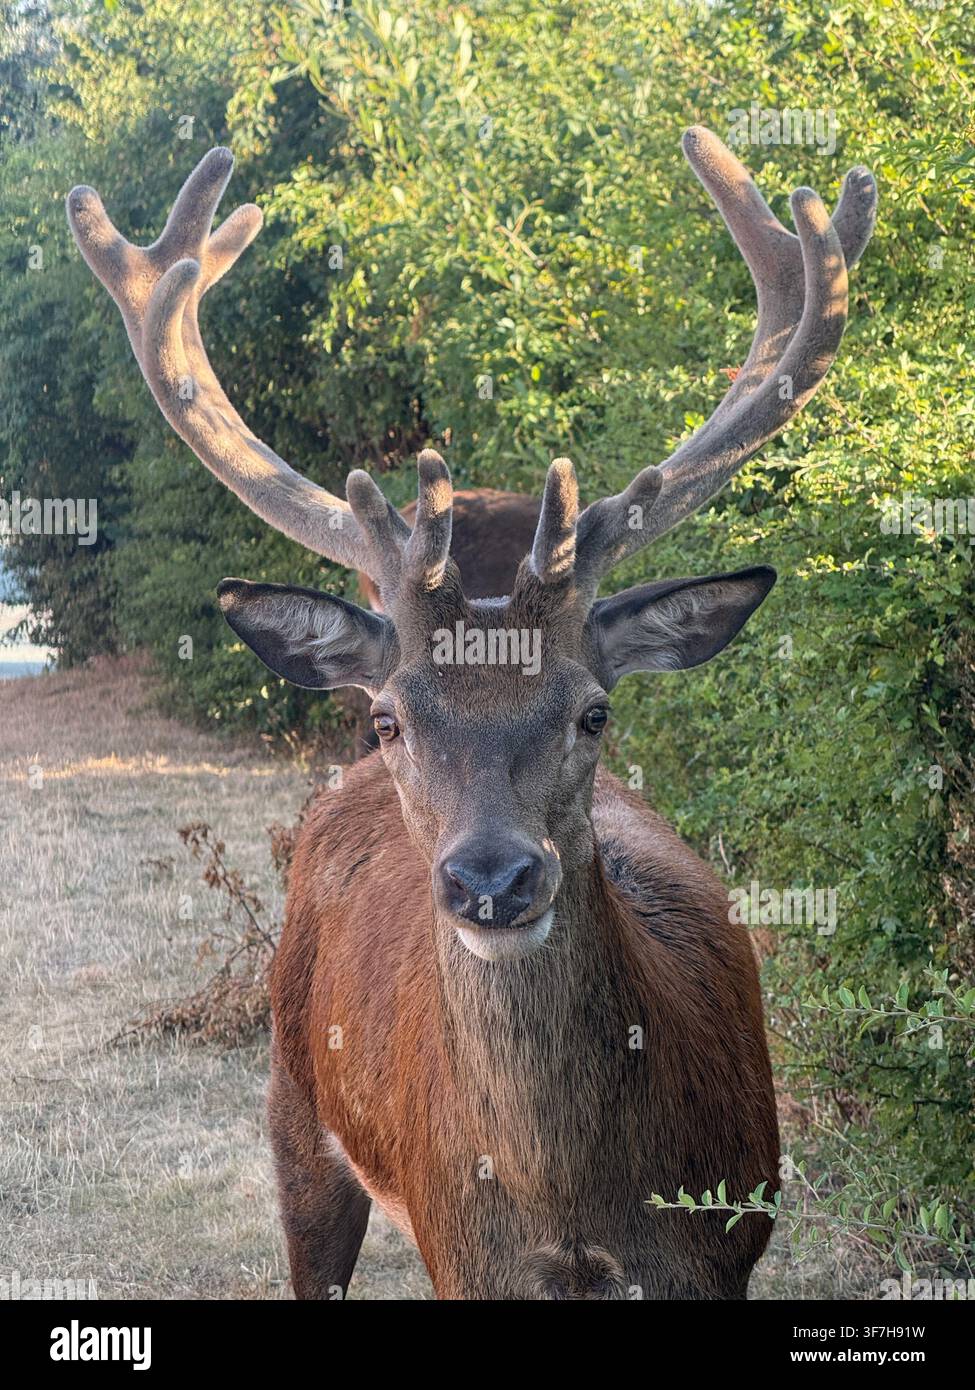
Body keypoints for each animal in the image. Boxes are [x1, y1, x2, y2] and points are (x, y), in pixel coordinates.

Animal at [68, 125, 876, 1299]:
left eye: (594, 712)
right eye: (390, 720)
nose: (492, 879)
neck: (571, 1209)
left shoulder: (723, 1242)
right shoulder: (461, 1252)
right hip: (291, 1106)